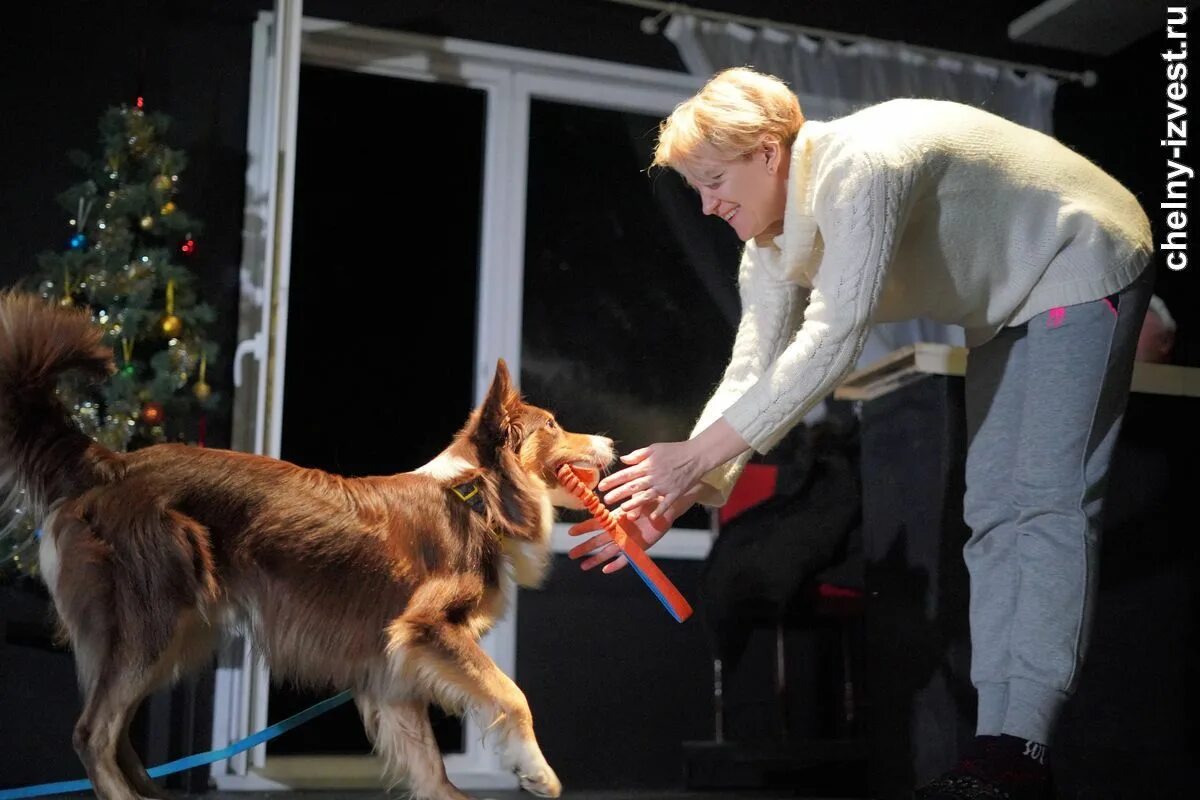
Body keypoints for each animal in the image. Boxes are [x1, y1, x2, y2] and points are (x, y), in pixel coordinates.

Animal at [0, 293, 614, 800]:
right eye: (554, 425)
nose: (610, 441)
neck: (475, 496)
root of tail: (109, 465)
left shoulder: (389, 669)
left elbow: (431, 768)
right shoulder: (428, 627)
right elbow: (511, 695)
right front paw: (536, 772)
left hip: (172, 631)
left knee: (116, 732)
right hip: (150, 616)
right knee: (92, 733)